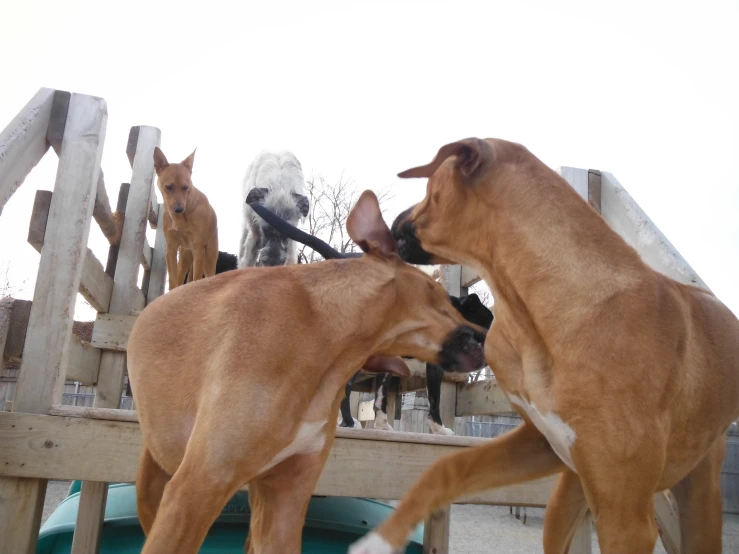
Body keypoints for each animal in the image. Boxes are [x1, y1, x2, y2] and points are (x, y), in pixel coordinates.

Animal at [127, 190, 486, 552]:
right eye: (440, 296)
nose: (487, 339)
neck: (325, 341)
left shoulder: (287, 500)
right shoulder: (196, 490)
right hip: (154, 485)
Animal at [152, 147, 217, 288]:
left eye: (186, 187)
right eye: (168, 187)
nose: (179, 209)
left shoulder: (198, 249)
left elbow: (196, 279)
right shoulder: (171, 248)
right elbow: (173, 280)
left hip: (209, 257)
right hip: (185, 256)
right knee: (180, 276)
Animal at [352, 139, 739, 552]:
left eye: (428, 188)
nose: (389, 221)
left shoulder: (627, 520)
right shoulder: (539, 443)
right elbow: (446, 466)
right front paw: (382, 537)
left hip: (694, 501)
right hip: (566, 500)